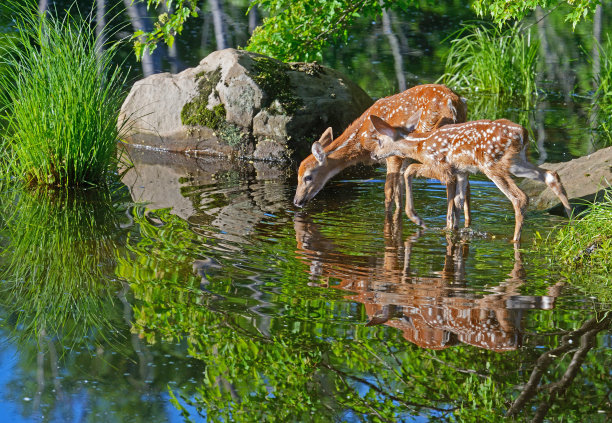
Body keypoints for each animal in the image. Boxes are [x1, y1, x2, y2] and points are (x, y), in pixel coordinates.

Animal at [294, 84, 470, 230]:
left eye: (308, 177)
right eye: (297, 175)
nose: (296, 201)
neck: (361, 140)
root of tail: (452, 103)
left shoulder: (394, 155)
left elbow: (388, 192)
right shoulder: (404, 159)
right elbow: (399, 194)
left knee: (448, 178)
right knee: (465, 182)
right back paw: (465, 225)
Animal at [368, 114, 572, 243]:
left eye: (379, 140)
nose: (373, 155)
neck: (420, 145)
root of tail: (523, 133)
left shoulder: (442, 167)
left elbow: (409, 170)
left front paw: (417, 219)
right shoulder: (461, 171)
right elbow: (458, 203)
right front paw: (454, 231)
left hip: (492, 164)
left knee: (520, 197)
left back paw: (515, 239)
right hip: (516, 162)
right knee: (551, 175)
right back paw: (571, 221)